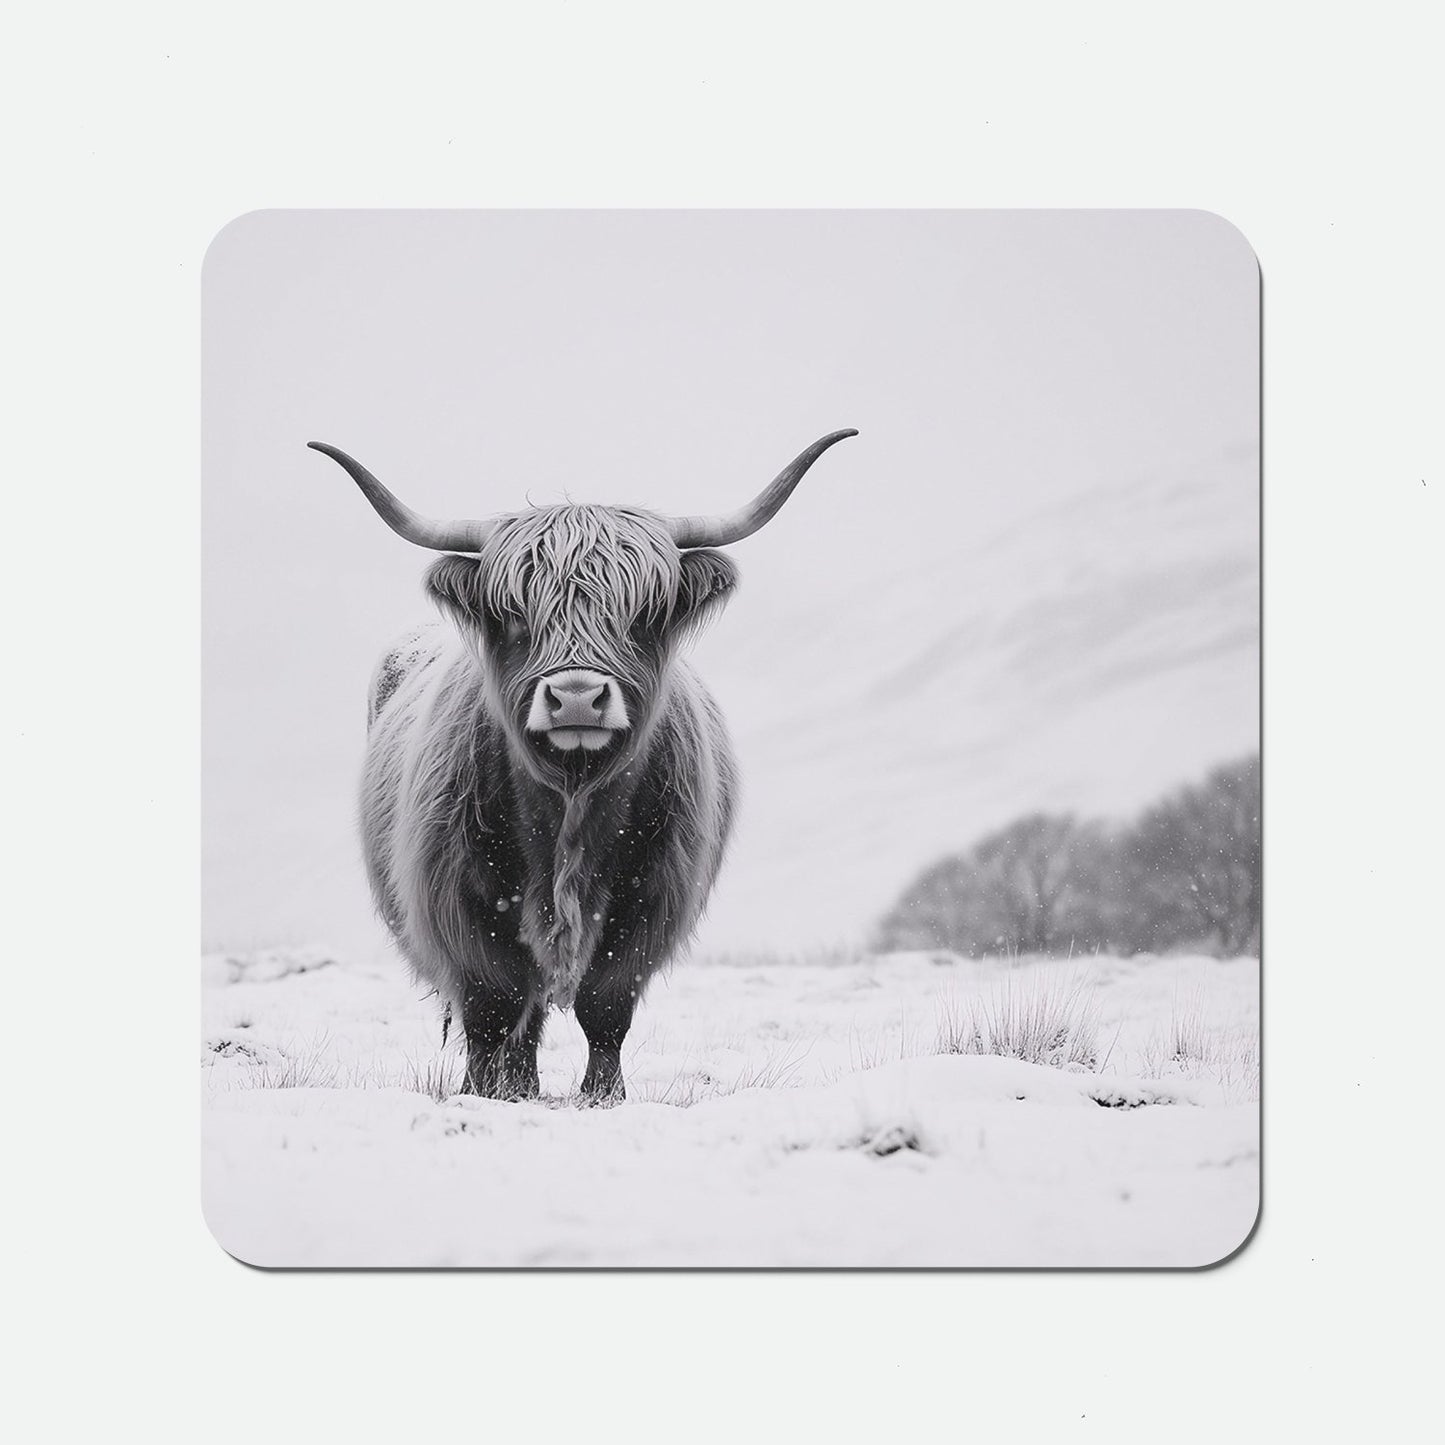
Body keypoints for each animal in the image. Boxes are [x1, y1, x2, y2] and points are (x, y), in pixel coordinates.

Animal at [308, 430, 857, 1102]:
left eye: (643, 614)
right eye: (516, 613)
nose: (575, 697)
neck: (571, 801)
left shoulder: (649, 900)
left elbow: (606, 1003)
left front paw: (603, 1095)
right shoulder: (461, 898)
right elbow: (493, 1004)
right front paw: (486, 1094)